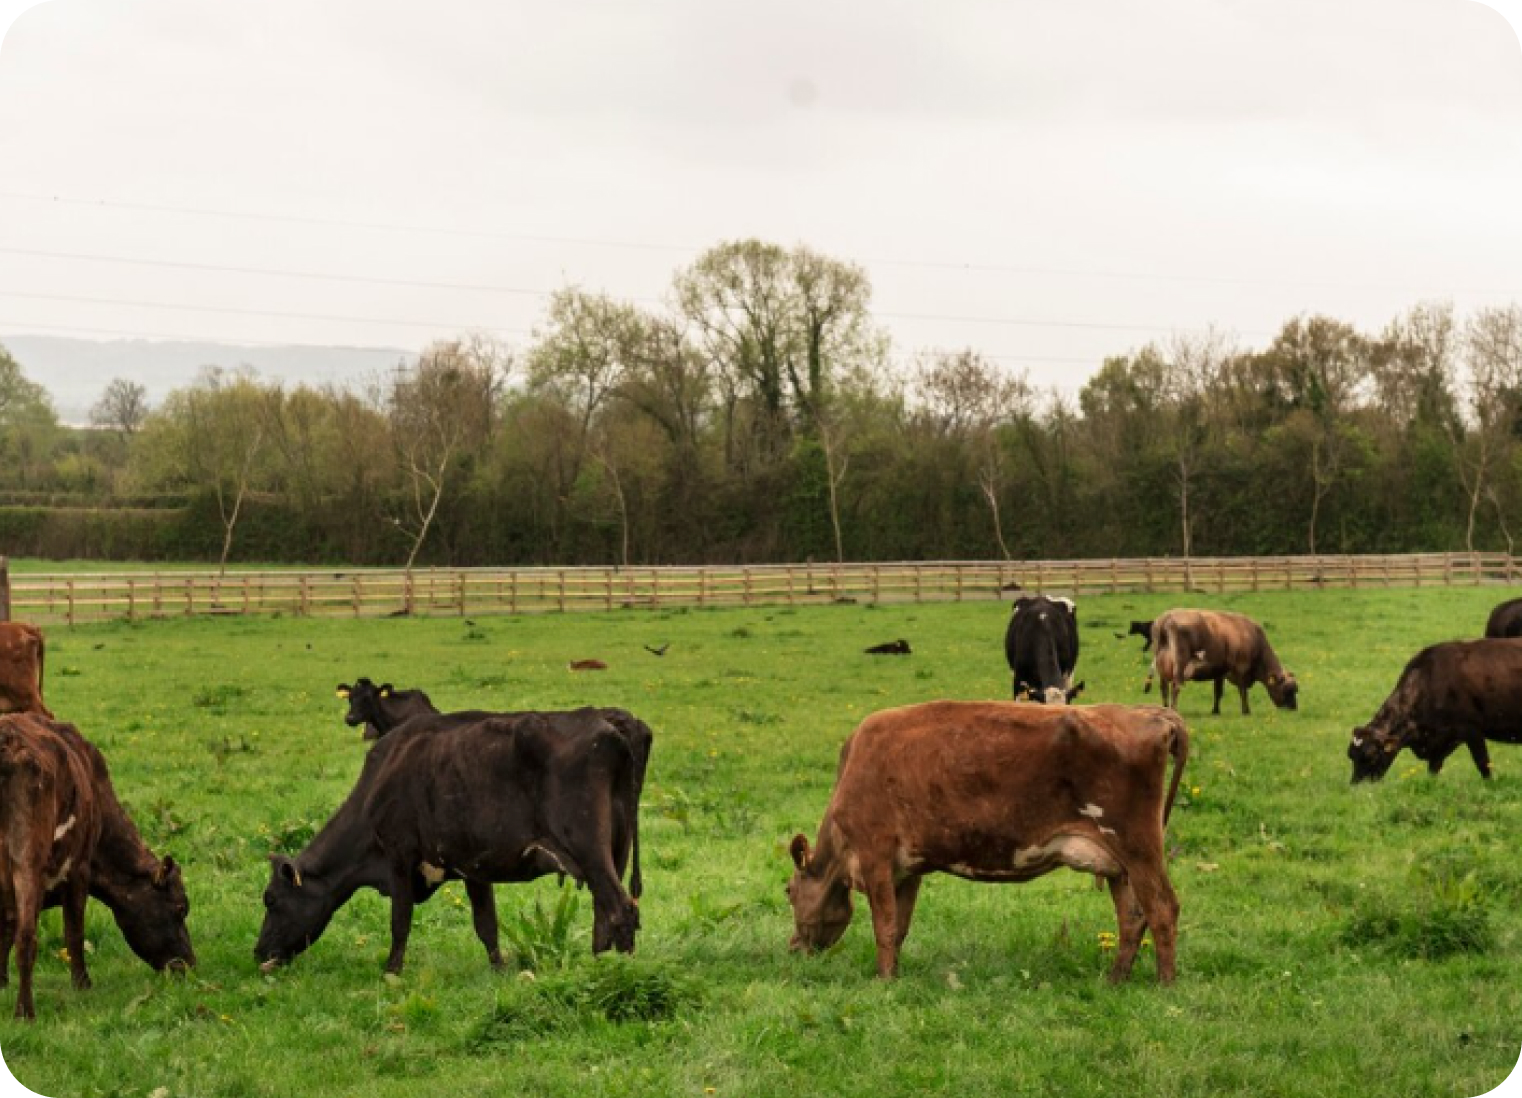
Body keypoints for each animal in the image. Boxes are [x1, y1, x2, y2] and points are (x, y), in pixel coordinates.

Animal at [0, 714, 193, 1019]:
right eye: (180, 908)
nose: (188, 964)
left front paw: (1, 983)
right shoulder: (79, 869)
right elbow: (74, 932)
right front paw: (82, 984)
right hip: (29, 858)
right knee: (27, 937)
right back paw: (25, 1012)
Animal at [255, 710, 643, 975]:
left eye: (271, 900)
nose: (258, 953)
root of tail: (610, 720)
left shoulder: (399, 855)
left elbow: (400, 920)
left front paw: (391, 973)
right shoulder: (475, 865)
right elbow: (486, 924)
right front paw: (499, 970)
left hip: (589, 850)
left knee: (621, 909)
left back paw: (619, 975)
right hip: (616, 851)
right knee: (605, 914)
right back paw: (598, 967)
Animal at [786, 702, 1188, 983]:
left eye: (788, 890)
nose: (792, 948)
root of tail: (1149, 712)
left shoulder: (875, 854)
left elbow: (883, 926)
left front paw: (882, 981)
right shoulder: (907, 868)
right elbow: (898, 927)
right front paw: (893, 976)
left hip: (1136, 845)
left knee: (1162, 908)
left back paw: (1165, 984)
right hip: (1119, 863)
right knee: (1133, 917)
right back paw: (1116, 980)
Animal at [1147, 609, 1298, 716]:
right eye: (1287, 690)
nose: (1293, 709)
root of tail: (1166, 617)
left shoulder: (1219, 671)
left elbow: (1218, 692)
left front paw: (1216, 711)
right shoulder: (1241, 668)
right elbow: (1243, 691)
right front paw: (1246, 711)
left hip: (1162, 667)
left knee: (1163, 687)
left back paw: (1165, 709)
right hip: (1180, 663)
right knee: (1175, 686)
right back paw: (1174, 711)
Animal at [1348, 638, 1522, 783]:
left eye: (1371, 756)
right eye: (1350, 755)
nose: (1357, 786)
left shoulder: (1471, 730)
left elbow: (1483, 763)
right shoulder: (1442, 739)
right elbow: (1433, 768)